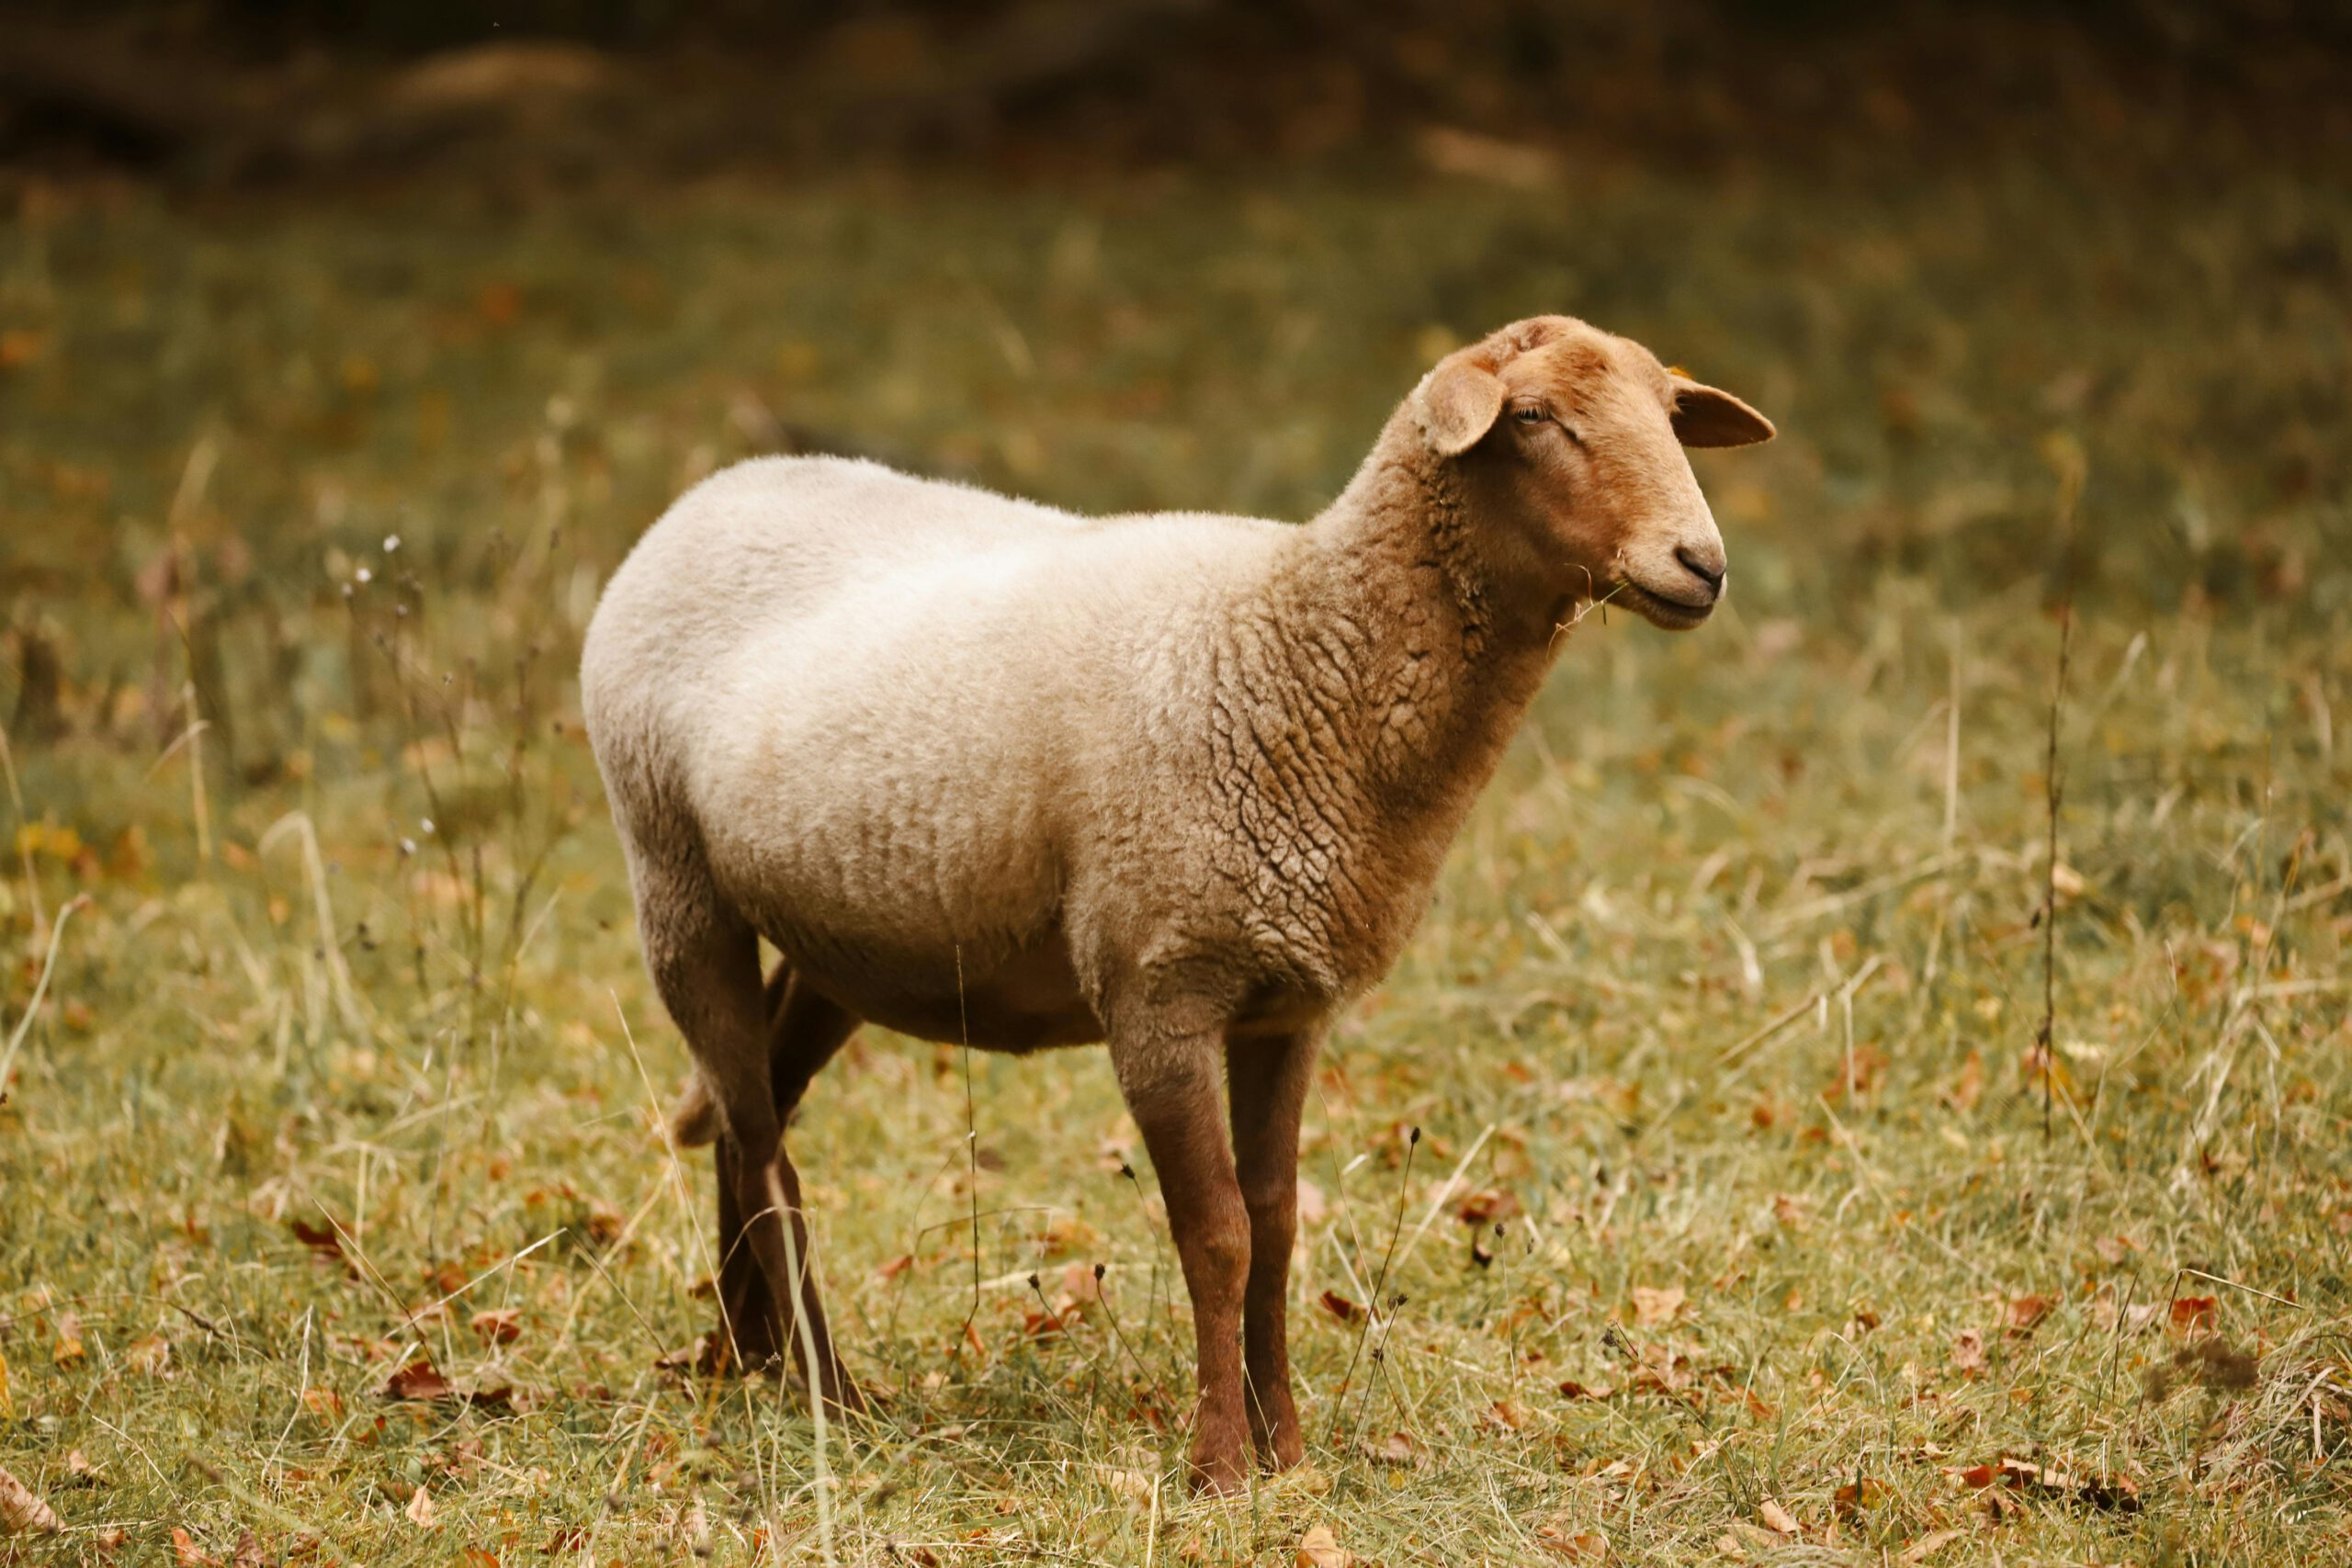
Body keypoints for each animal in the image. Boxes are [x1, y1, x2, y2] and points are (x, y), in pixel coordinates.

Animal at [582, 312, 1769, 1495]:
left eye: (1670, 415)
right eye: (1531, 415)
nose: (1701, 566)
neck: (1298, 646)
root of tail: (715, 490)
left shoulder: (1288, 1004)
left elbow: (1278, 1228)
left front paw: (1286, 1453)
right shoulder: (1160, 988)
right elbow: (1217, 1236)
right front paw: (1219, 1470)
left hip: (845, 932)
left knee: (751, 1116)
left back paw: (744, 1357)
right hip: (675, 879)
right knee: (759, 1138)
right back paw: (828, 1395)